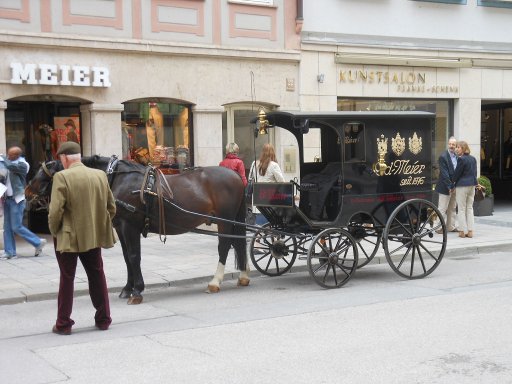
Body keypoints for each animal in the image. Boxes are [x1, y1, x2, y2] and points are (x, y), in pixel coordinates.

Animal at [26, 155, 250, 304]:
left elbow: (134, 256)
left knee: (225, 245)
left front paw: (137, 291)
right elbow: (127, 258)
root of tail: (236, 175)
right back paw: (243, 276)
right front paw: (128, 288)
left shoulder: (130, 226)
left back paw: (215, 281)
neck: (115, 178)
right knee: (237, 242)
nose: (27, 192)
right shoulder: (121, 227)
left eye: (45, 172)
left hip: (225, 219)